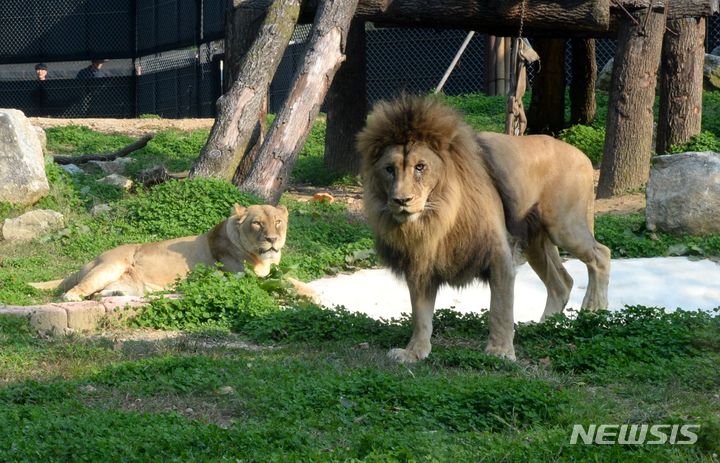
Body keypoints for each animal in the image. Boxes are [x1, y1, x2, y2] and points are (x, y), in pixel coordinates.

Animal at [32, 204, 286, 300]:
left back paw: (120, 295)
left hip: (129, 283)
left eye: (278, 222)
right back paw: (75, 296)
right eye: (257, 223)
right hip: (109, 266)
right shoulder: (239, 277)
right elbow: (279, 282)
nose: (272, 239)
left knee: (100, 294)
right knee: (75, 291)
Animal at [358, 95, 612, 362]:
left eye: (420, 167)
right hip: (535, 242)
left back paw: (593, 311)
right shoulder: (420, 263)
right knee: (561, 283)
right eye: (389, 169)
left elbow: (500, 309)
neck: (437, 218)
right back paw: (543, 327)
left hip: (565, 226)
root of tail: (582, 155)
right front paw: (414, 352)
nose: (401, 200)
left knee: (601, 255)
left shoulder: (499, 254)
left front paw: (500, 351)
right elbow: (420, 315)